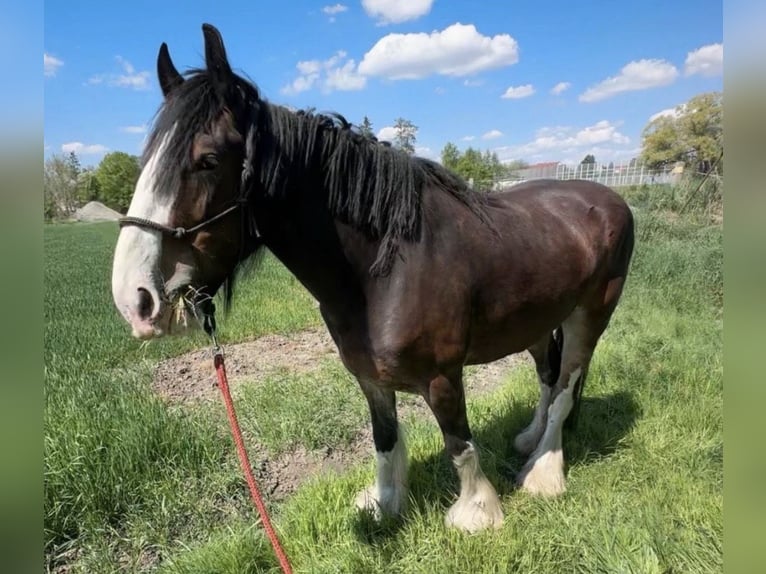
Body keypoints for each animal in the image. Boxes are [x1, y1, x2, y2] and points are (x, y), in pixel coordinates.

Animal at [111, 24, 634, 533]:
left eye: (207, 160)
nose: (135, 300)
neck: (384, 270)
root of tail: (608, 197)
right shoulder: (369, 377)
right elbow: (384, 440)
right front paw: (385, 503)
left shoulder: (443, 378)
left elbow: (459, 443)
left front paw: (477, 513)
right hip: (538, 319)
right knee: (548, 375)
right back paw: (529, 440)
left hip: (591, 315)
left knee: (566, 383)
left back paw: (545, 472)